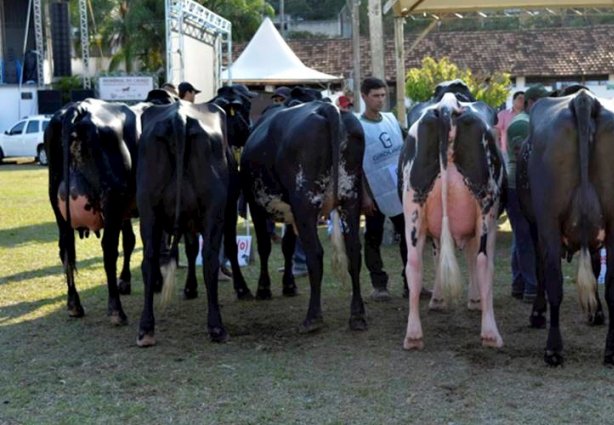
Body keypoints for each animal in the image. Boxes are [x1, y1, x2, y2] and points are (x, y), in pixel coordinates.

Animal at [46, 98, 141, 324]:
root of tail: (78, 107)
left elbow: (130, 241)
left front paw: (125, 281)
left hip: (57, 204)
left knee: (65, 249)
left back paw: (74, 305)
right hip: (112, 199)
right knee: (108, 249)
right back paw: (116, 311)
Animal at [136, 101, 230, 346]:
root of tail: (179, 118)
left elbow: (190, 249)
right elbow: (193, 249)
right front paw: (191, 288)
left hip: (148, 209)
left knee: (149, 261)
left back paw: (146, 329)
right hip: (213, 210)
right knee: (209, 259)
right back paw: (216, 327)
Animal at [241, 97, 368, 332]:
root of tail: (327, 107)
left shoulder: (256, 206)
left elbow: (264, 246)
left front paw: (264, 288)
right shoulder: (291, 213)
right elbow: (288, 246)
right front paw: (289, 285)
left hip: (305, 202)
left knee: (315, 254)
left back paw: (312, 318)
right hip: (350, 198)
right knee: (354, 250)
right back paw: (357, 315)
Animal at [402, 82, 508, 348]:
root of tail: (448, 105)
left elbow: (438, 255)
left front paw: (438, 299)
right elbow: (471, 257)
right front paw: (475, 300)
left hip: (413, 207)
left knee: (414, 263)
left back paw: (413, 335)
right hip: (487, 206)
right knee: (484, 262)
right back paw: (491, 333)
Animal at [516, 88, 614, 364]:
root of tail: (584, 99)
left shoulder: (535, 225)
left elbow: (539, 269)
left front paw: (537, 314)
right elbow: (595, 265)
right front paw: (596, 313)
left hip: (548, 221)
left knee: (553, 281)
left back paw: (553, 349)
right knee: (611, 285)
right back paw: (611, 350)